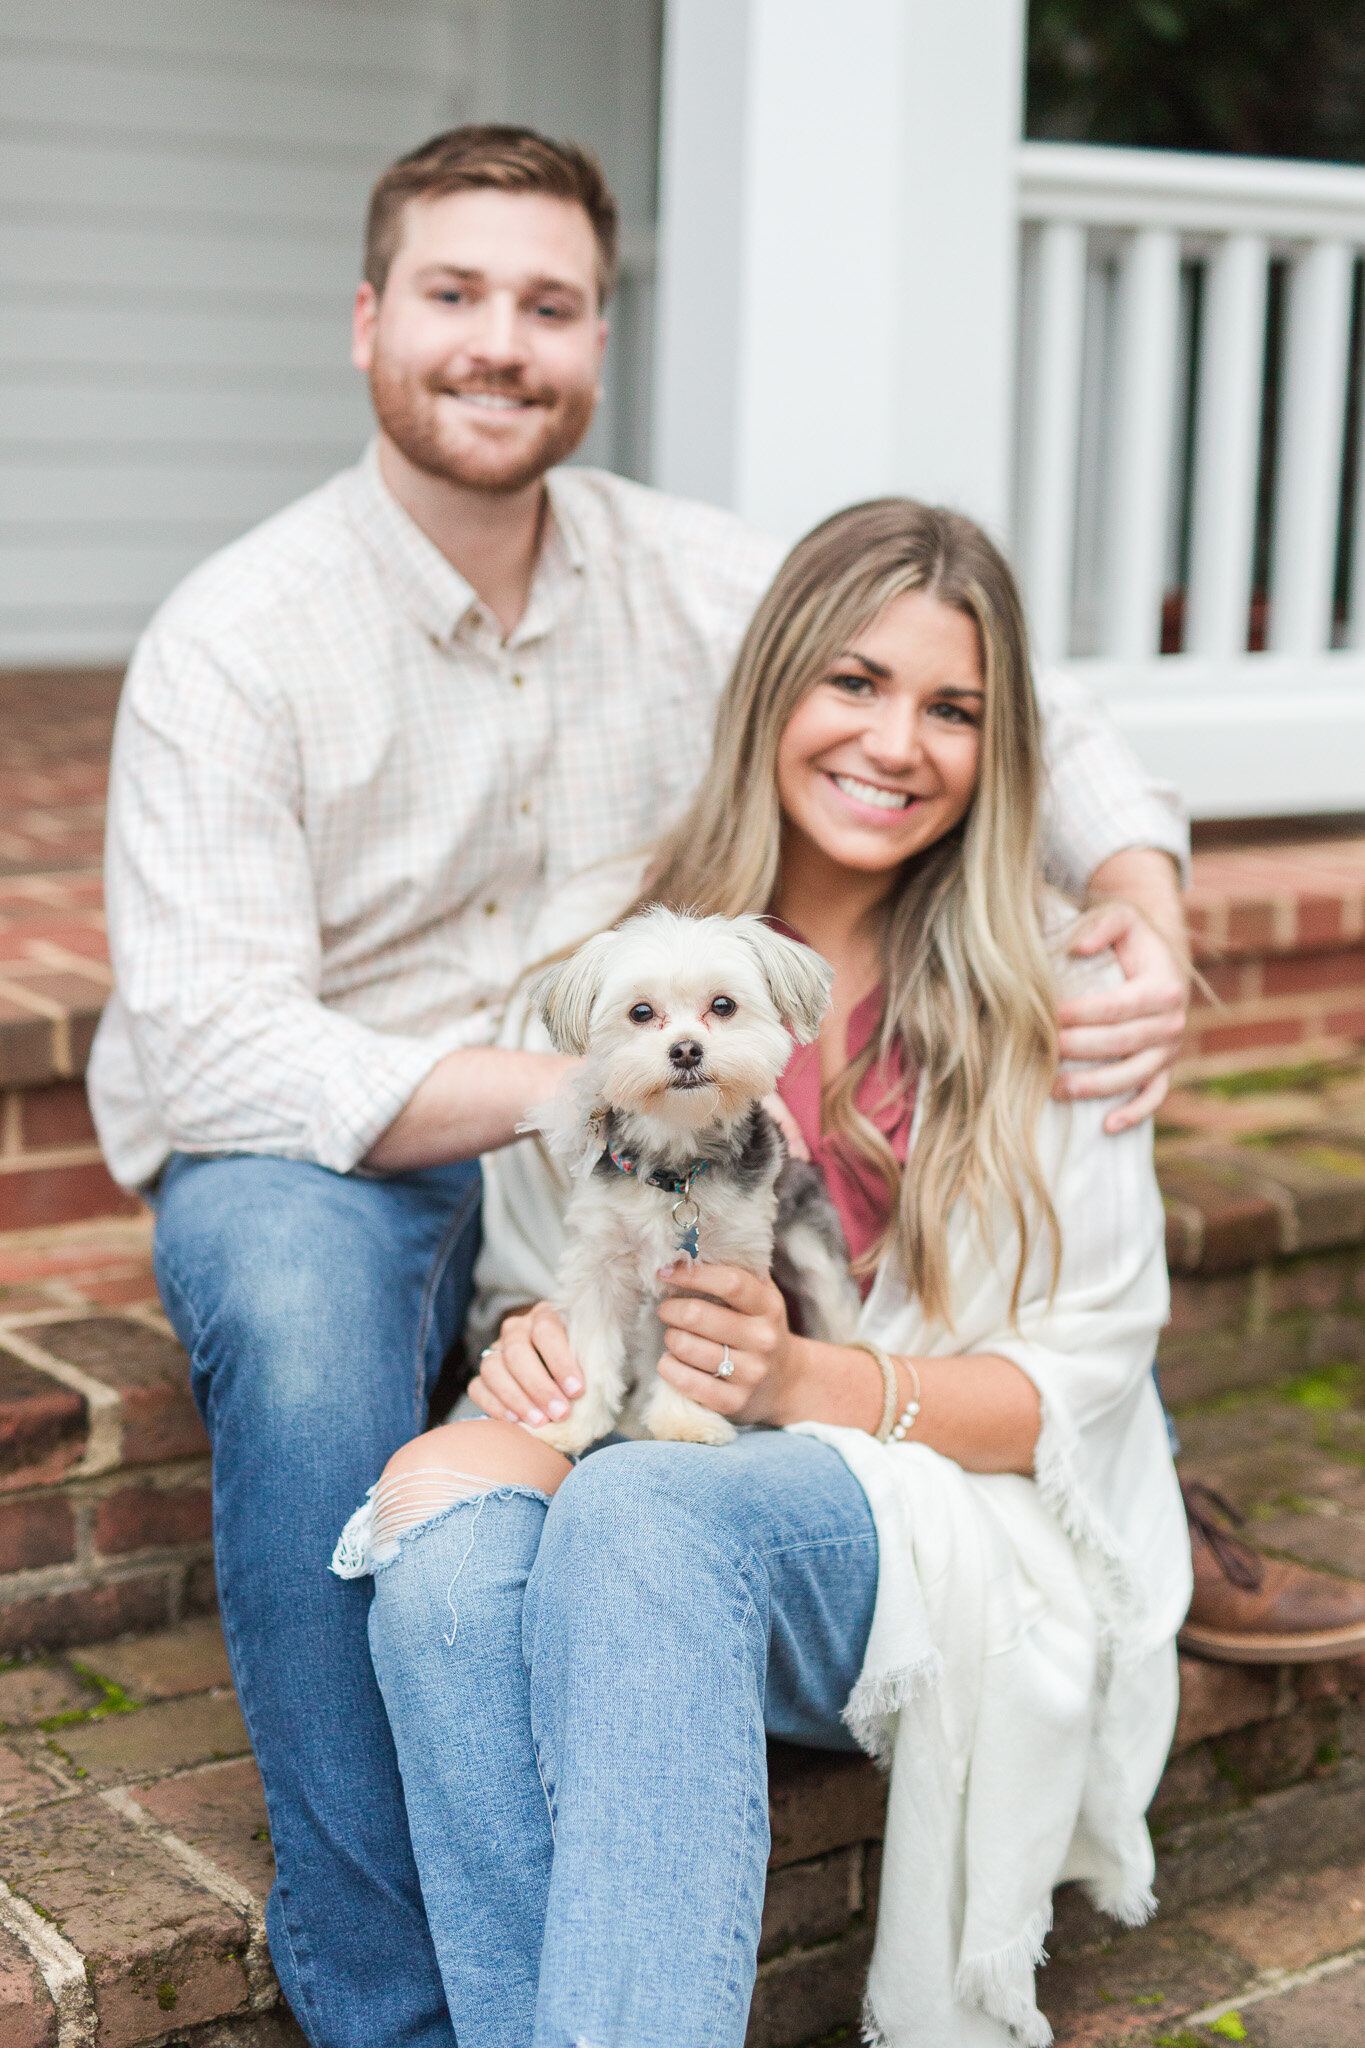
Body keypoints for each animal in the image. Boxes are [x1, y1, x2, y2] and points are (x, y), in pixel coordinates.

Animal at [527, 905, 859, 1449]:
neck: (675, 1166)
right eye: (641, 1012)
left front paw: (685, 1420)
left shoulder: (719, 1276)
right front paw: (573, 1421)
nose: (685, 1050)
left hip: (816, 1254)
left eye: (723, 1005)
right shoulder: (599, 1261)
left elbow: (693, 1359)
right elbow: (592, 1349)